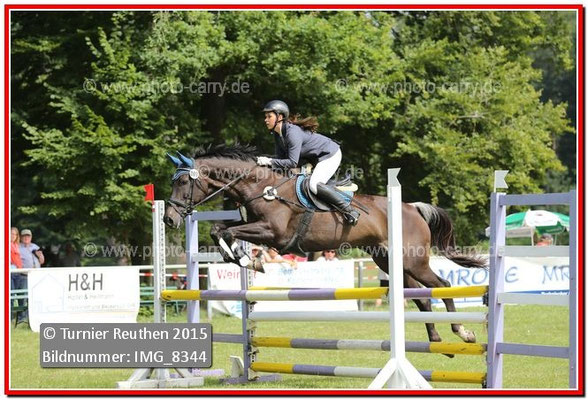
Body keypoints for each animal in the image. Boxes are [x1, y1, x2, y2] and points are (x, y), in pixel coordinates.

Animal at [163, 144, 487, 347]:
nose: (168, 219)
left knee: (443, 285)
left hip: (413, 260)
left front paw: (247, 260)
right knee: (421, 297)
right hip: (388, 260)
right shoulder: (255, 227)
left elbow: (228, 232)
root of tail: (412, 208)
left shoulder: (273, 233)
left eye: (183, 183)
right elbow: (220, 230)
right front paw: (243, 258)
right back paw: (436, 340)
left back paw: (463, 333)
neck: (259, 186)